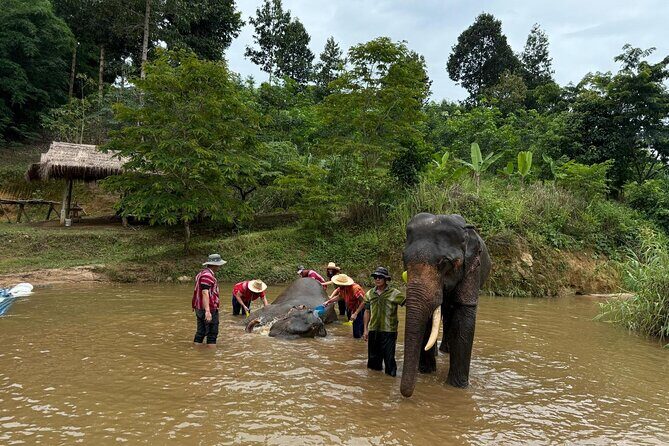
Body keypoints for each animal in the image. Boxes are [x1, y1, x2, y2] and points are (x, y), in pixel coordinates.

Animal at [400, 213, 491, 398]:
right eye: (404, 259)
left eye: (444, 262)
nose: (406, 394)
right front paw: (426, 373)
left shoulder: (472, 268)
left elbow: (464, 318)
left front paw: (458, 387)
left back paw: (446, 351)